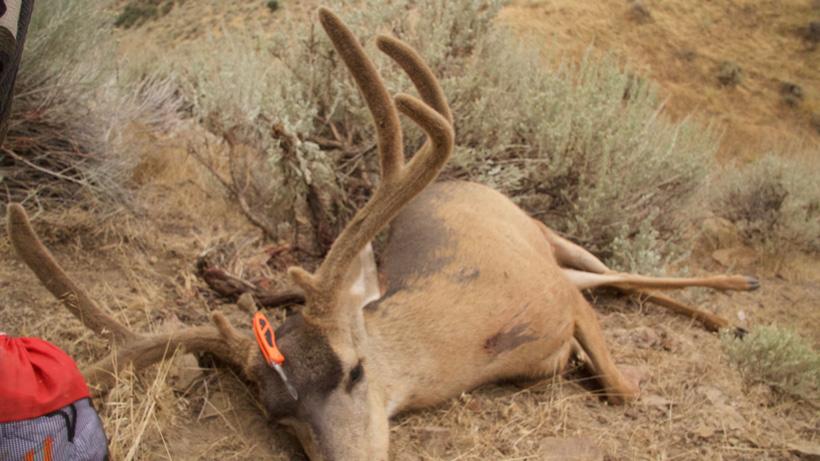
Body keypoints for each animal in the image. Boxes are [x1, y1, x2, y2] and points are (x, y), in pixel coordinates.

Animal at [5, 8, 760, 460]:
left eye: (355, 371)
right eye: (277, 413)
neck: (480, 339)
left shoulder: (558, 301)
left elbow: (622, 387)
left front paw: (640, 377)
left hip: (548, 236)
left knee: (621, 273)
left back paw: (736, 299)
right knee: (617, 279)